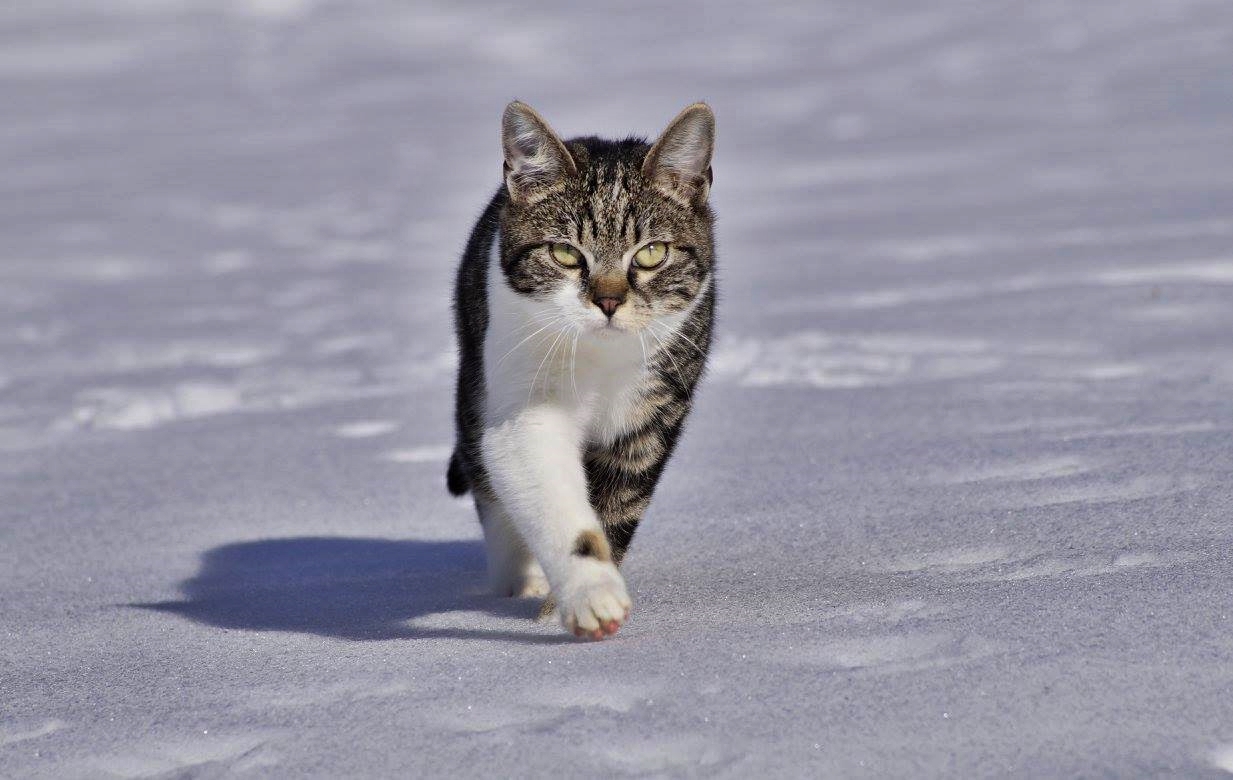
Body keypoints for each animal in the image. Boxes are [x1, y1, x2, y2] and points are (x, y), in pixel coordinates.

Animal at [446, 98, 715, 640]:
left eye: (652, 252)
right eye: (566, 252)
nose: (608, 301)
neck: (599, 361)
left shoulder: (651, 411)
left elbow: (617, 505)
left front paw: (563, 606)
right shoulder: (520, 402)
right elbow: (548, 491)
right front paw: (590, 596)